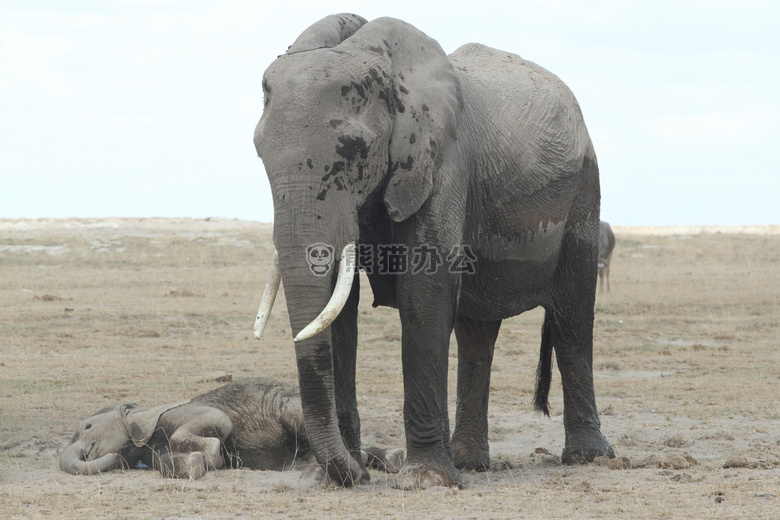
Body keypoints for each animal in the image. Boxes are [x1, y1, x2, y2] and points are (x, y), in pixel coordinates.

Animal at [59, 378, 402, 480]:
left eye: (88, 426)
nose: (88, 452)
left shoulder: (180, 412)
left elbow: (219, 420)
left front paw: (214, 457)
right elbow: (163, 461)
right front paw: (195, 464)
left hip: (290, 406)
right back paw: (390, 459)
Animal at [253, 13, 612, 492]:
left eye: (354, 151)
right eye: (259, 152)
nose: (359, 475)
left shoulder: (442, 163)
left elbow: (424, 293)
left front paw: (424, 481)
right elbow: (340, 310)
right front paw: (326, 479)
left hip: (584, 192)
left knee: (572, 317)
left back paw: (589, 458)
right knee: (476, 333)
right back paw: (470, 462)